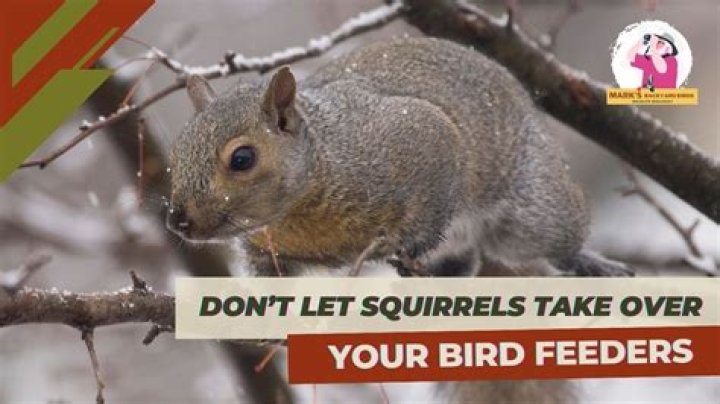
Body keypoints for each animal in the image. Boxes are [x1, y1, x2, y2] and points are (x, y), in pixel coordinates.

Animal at [168, 37, 629, 402]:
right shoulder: (267, 247)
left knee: (552, 238)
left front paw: (411, 241)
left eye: (242, 158)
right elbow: (268, 280)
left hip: (532, 213)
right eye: (176, 151)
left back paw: (590, 262)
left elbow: (430, 204)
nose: (177, 221)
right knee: (464, 260)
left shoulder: (420, 139)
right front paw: (261, 313)